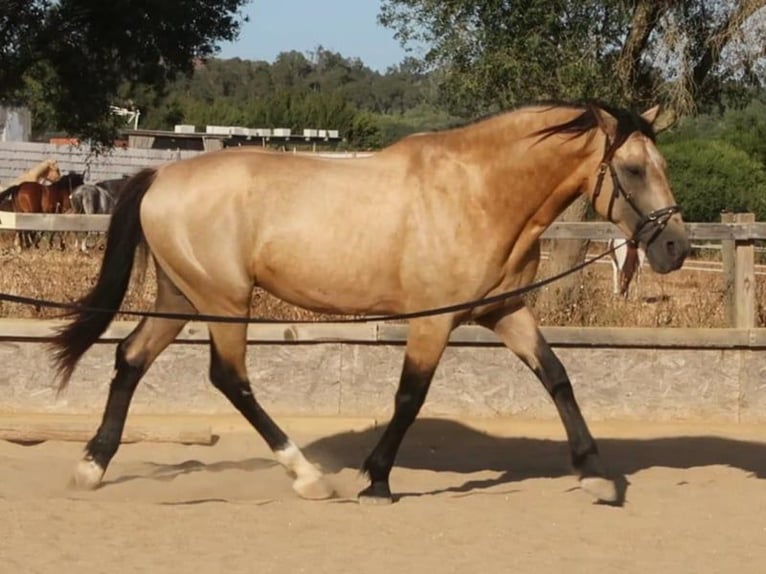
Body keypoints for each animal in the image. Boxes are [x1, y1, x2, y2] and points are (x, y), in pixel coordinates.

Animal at [51, 101, 692, 506]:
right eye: (633, 168)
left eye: (662, 164)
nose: (677, 248)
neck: (477, 193)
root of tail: (159, 178)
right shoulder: (434, 322)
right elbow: (409, 397)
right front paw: (376, 480)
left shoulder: (503, 312)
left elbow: (557, 376)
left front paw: (596, 476)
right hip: (223, 300)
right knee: (229, 378)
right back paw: (309, 478)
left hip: (183, 295)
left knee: (131, 358)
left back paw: (90, 467)